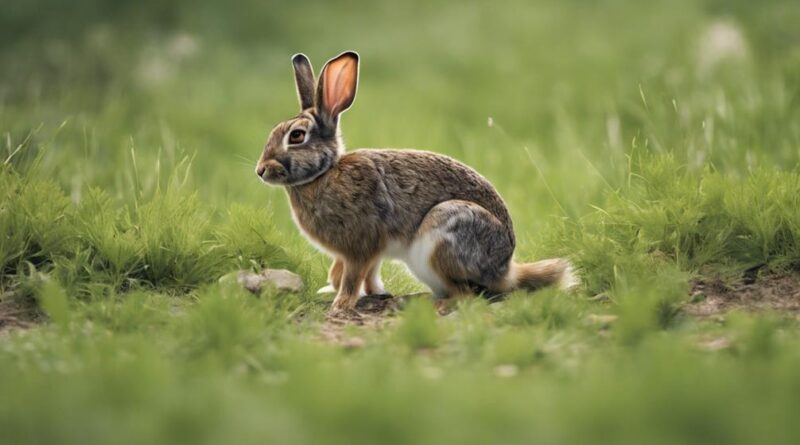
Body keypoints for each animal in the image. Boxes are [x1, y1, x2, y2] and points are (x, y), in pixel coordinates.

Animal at [255, 50, 576, 310]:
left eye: (296, 136)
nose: (260, 170)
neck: (324, 174)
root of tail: (504, 269)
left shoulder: (361, 244)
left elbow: (354, 275)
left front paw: (341, 304)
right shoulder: (366, 251)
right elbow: (362, 272)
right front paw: (351, 290)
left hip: (443, 235)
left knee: (466, 296)